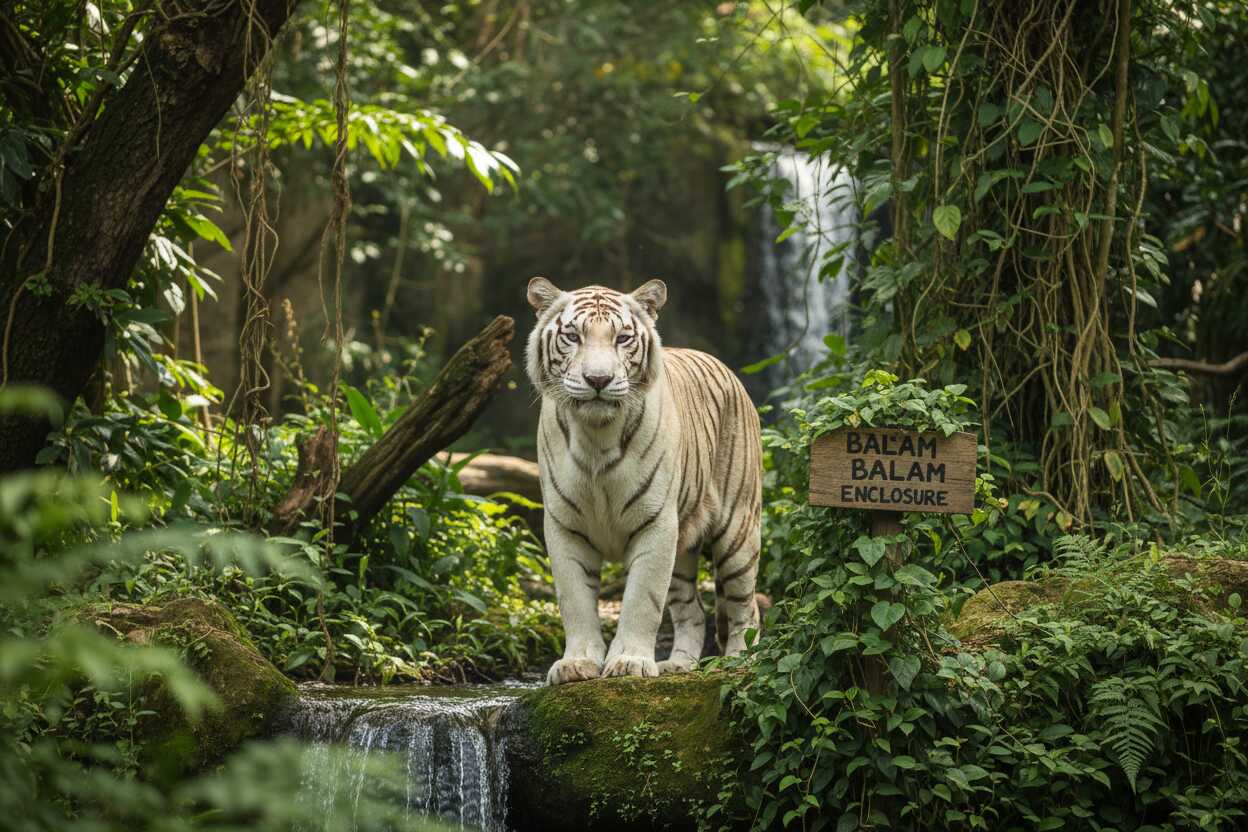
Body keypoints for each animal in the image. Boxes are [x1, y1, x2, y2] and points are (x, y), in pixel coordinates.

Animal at [524, 277, 763, 685]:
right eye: (572, 336)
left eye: (622, 338)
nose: (598, 380)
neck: (596, 437)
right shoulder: (564, 525)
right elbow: (574, 599)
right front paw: (577, 663)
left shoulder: (656, 524)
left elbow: (642, 599)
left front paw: (629, 662)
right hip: (684, 549)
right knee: (693, 610)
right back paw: (678, 665)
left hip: (738, 532)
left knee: (745, 606)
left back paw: (738, 662)